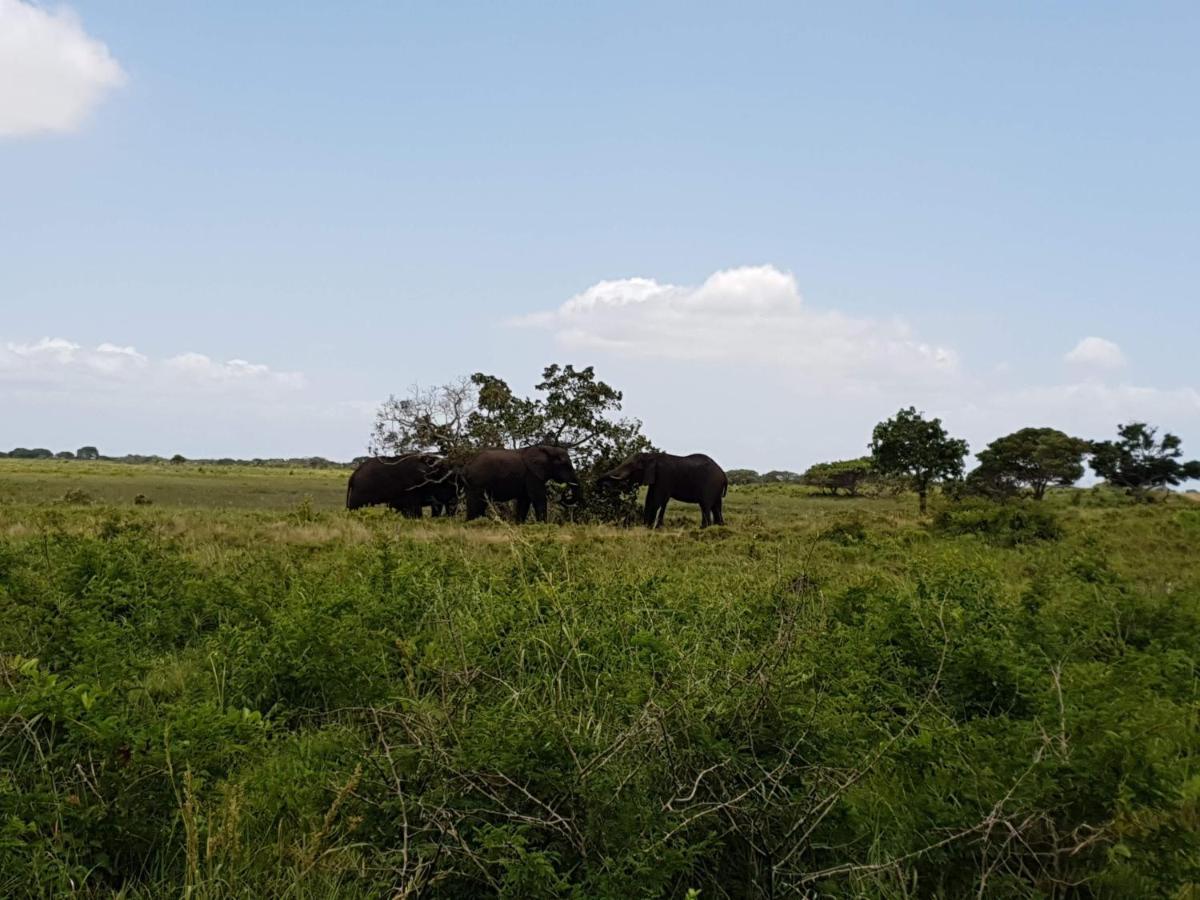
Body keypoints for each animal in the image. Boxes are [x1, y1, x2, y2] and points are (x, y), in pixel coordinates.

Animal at [595, 451, 724, 528]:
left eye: (633, 467)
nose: (599, 487)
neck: (651, 456)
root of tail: (724, 475)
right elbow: (650, 499)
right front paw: (646, 526)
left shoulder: (663, 476)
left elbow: (658, 499)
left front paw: (654, 527)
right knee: (716, 506)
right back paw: (719, 526)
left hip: (710, 484)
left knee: (705, 505)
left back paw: (704, 528)